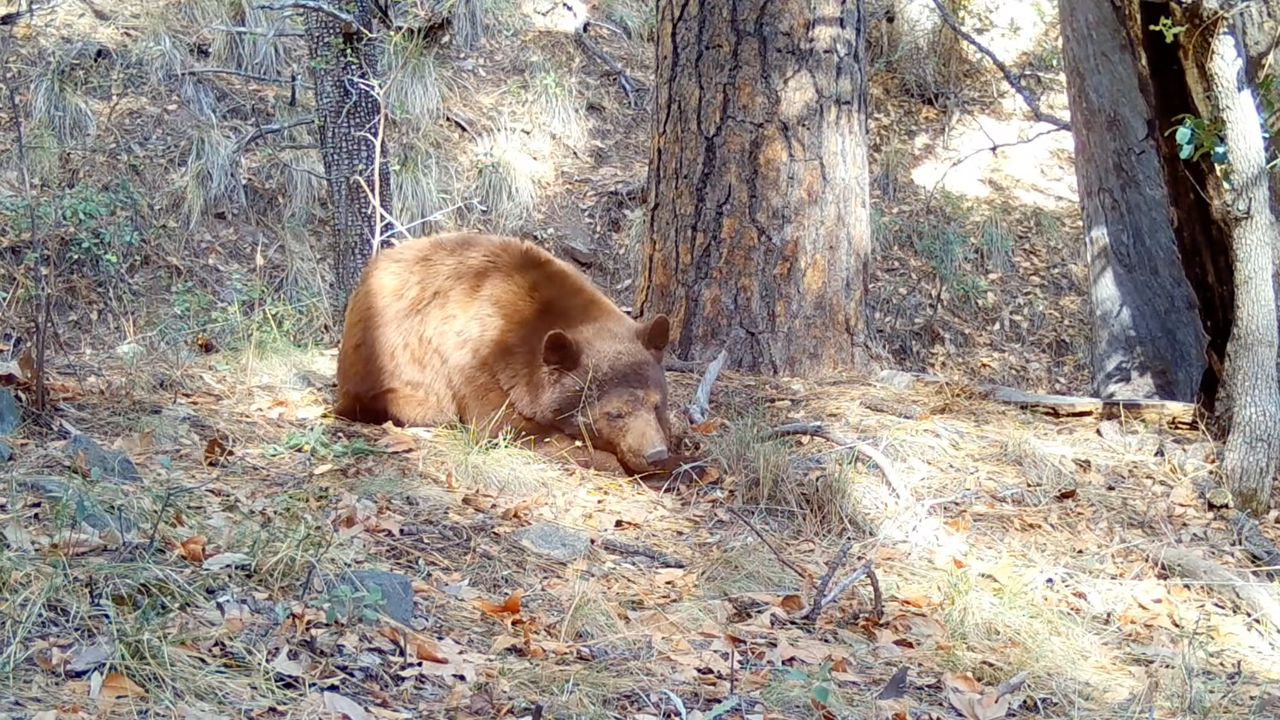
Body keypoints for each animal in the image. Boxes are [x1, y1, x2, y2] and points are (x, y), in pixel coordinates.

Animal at [332, 230, 691, 476]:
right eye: (614, 413)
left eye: (657, 404)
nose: (654, 454)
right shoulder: (476, 363)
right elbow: (507, 427)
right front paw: (608, 460)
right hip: (383, 362)